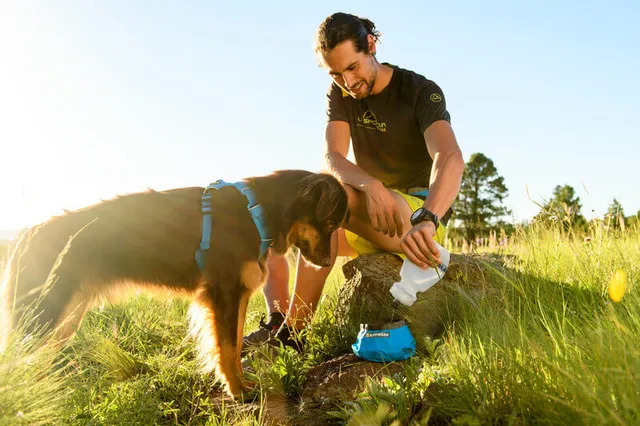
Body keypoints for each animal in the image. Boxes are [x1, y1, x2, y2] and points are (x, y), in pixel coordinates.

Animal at [0, 170, 350, 400]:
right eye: (332, 222)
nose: (325, 262)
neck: (257, 211)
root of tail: (24, 236)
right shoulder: (223, 293)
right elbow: (227, 349)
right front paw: (238, 392)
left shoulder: (235, 296)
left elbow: (235, 344)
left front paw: (241, 385)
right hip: (43, 317)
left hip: (63, 320)